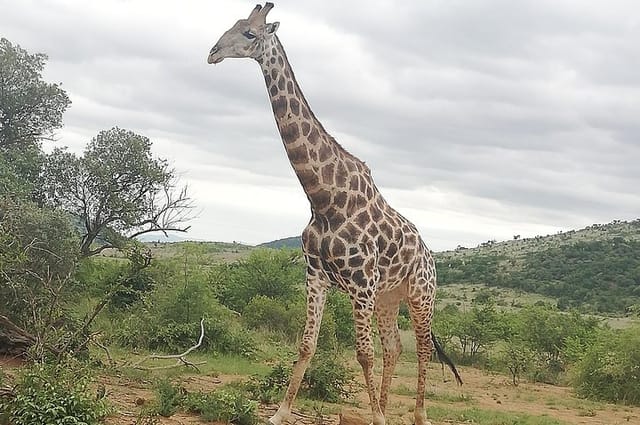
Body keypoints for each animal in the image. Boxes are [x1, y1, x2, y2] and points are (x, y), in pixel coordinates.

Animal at [208, 3, 462, 424]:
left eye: (249, 33)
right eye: (232, 24)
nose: (212, 52)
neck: (323, 198)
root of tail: (429, 255)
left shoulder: (360, 283)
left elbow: (363, 353)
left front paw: (377, 418)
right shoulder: (317, 276)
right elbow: (307, 344)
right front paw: (280, 413)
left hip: (421, 295)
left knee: (423, 348)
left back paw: (418, 415)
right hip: (388, 298)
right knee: (395, 346)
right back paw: (386, 407)